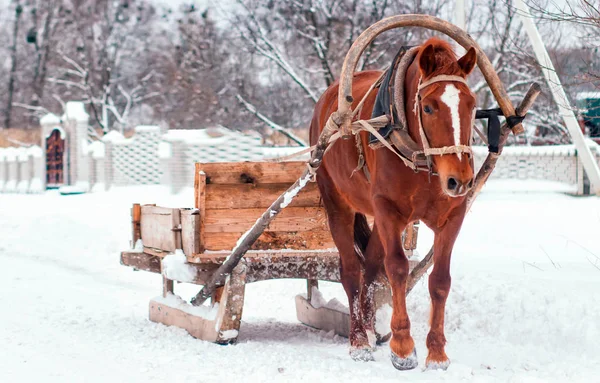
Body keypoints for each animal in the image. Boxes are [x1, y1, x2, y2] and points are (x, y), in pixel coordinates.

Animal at [312, 37, 476, 370]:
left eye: (472, 105)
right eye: (428, 106)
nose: (461, 179)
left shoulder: (453, 215)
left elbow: (440, 280)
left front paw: (436, 352)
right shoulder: (389, 210)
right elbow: (398, 269)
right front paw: (402, 347)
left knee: (371, 268)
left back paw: (371, 331)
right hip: (338, 203)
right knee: (352, 271)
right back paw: (359, 341)